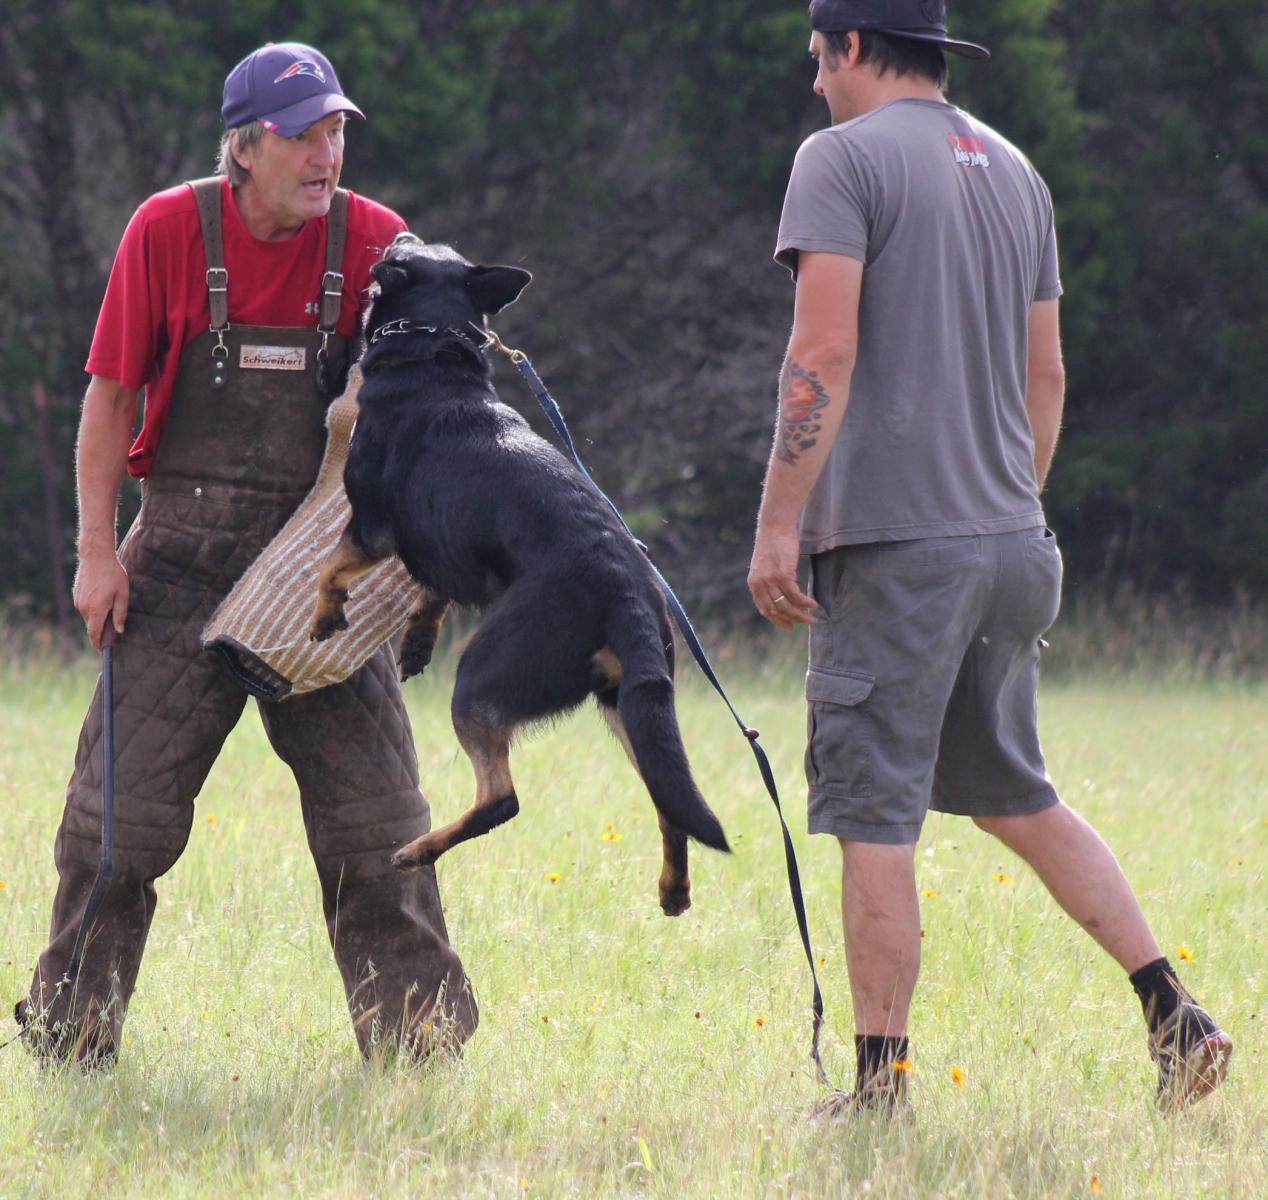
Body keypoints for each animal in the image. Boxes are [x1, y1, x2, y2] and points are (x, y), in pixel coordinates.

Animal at [308, 232, 730, 908]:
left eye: (404, 250)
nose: (396, 236)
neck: (432, 345)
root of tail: (625, 589)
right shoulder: (440, 542)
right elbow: (431, 591)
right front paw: (417, 639)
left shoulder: (372, 525)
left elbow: (331, 567)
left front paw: (326, 617)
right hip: (628, 703)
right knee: (668, 801)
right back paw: (672, 888)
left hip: (483, 680)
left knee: (500, 801)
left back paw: (417, 850)